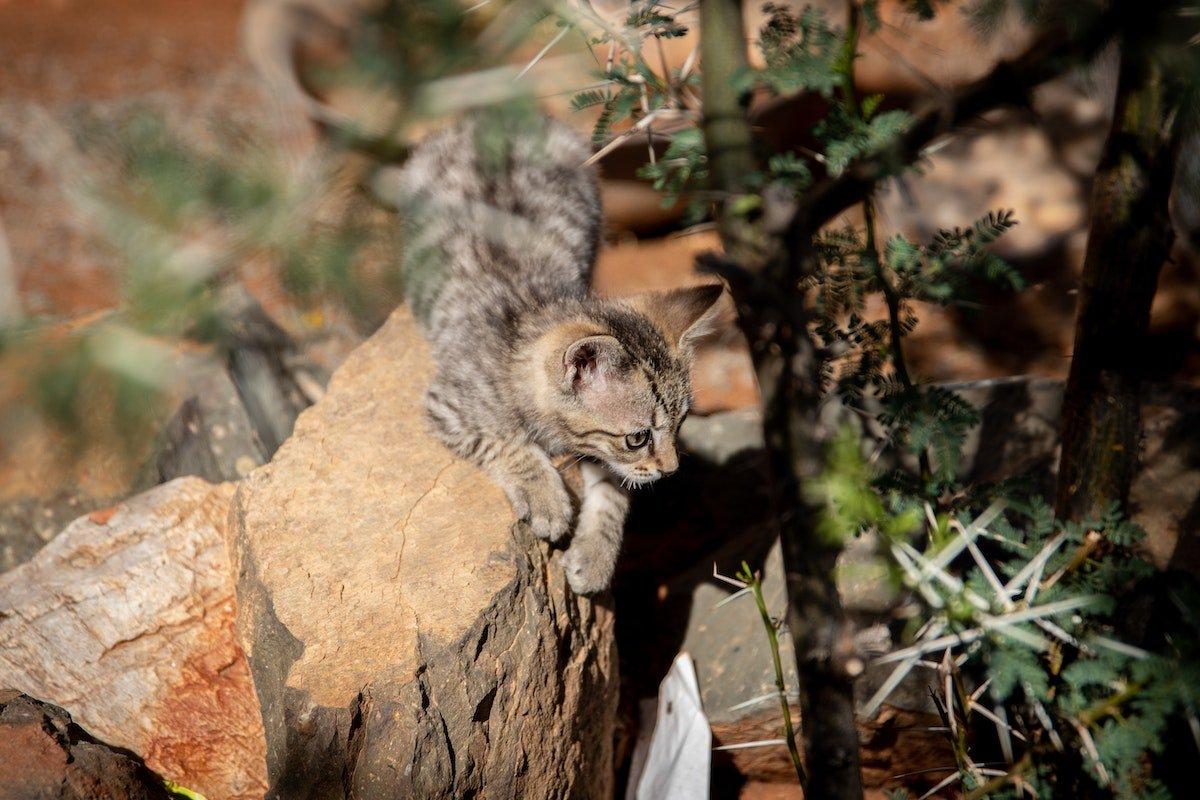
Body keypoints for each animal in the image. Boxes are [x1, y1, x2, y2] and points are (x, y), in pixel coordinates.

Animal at [391, 109, 720, 592]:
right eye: (638, 437)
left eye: (680, 425)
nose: (670, 470)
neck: (530, 317)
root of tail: (494, 112)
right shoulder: (447, 405)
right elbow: (505, 441)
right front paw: (545, 497)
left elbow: (615, 490)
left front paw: (596, 555)